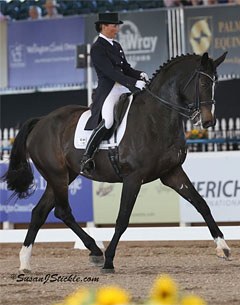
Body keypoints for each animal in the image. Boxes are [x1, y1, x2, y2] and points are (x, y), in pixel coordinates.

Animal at [2, 51, 231, 270]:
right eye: (203, 83)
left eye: (216, 83)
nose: (208, 121)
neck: (156, 118)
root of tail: (41, 120)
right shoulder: (133, 178)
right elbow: (122, 219)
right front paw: (109, 260)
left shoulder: (172, 173)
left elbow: (201, 204)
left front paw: (223, 247)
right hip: (57, 175)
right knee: (63, 211)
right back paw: (95, 251)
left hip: (64, 175)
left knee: (40, 212)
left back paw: (26, 262)